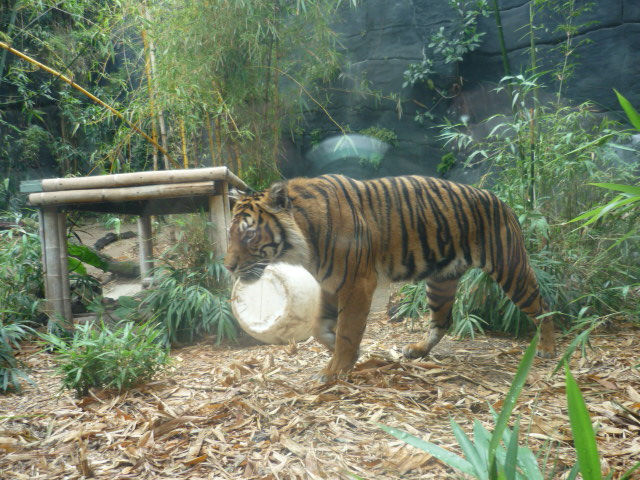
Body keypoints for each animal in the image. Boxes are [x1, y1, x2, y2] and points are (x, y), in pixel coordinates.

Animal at [224, 174, 556, 382]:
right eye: (230, 233)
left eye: (249, 234)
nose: (227, 266)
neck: (305, 239)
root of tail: (500, 199)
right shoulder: (330, 283)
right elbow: (319, 327)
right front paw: (336, 351)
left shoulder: (356, 283)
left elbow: (347, 331)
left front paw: (335, 369)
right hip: (441, 281)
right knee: (443, 320)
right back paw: (418, 350)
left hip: (509, 266)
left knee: (543, 306)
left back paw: (547, 350)